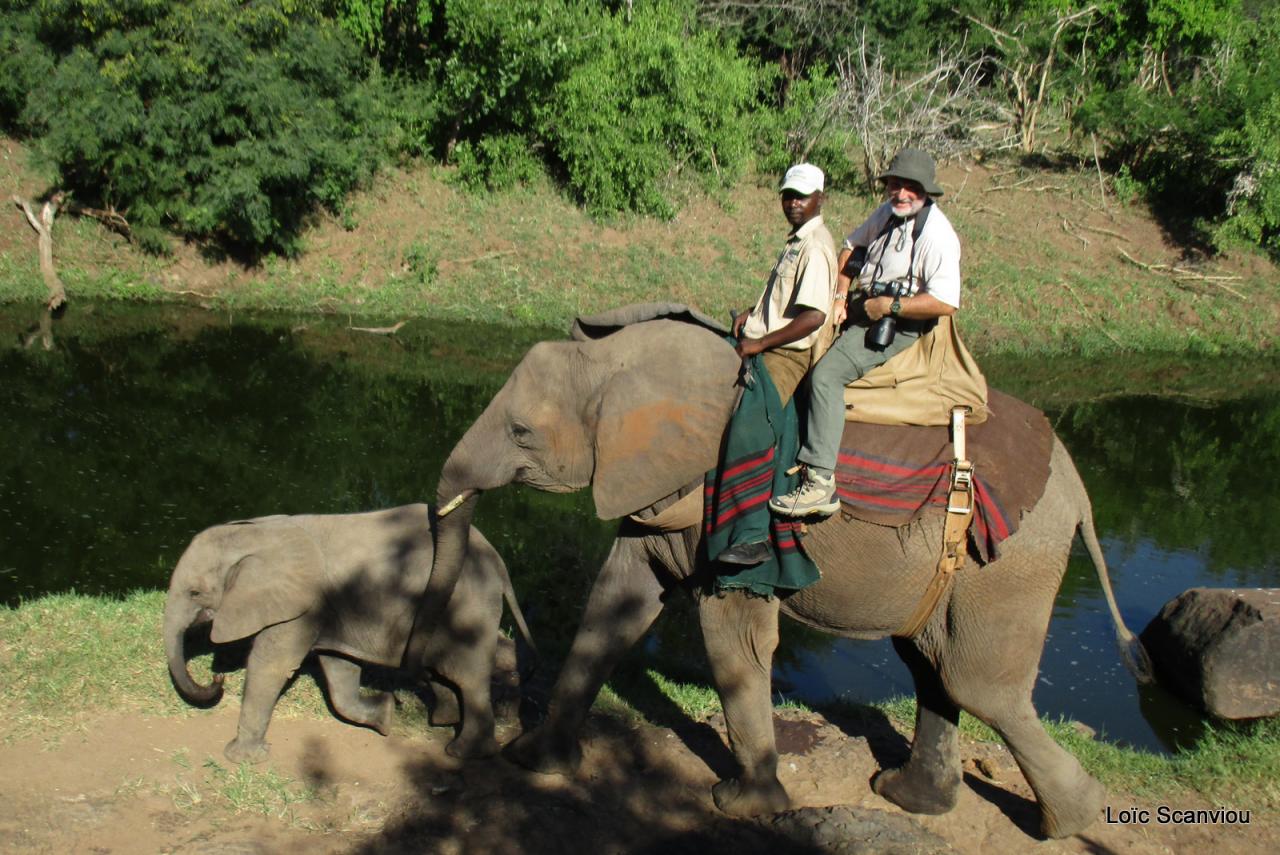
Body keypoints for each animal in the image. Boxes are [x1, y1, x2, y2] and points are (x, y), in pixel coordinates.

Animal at [162, 501, 532, 762]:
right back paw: (443, 719)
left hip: (466, 607)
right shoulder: (331, 611)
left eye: (195, 592)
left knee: (468, 678)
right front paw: (385, 716)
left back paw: (462, 752)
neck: (257, 532)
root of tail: (497, 561)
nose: (216, 679)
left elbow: (271, 666)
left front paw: (240, 758)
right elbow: (338, 670)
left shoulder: (301, 606)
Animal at [417, 311, 1152, 839]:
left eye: (520, 433)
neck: (624, 360)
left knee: (978, 685)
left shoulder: (726, 507)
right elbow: (613, 606)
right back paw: (910, 798)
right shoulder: (659, 488)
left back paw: (1073, 820)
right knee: (933, 669)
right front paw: (536, 762)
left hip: (1007, 561)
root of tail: (1078, 487)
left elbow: (730, 635)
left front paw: (739, 804)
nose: (444, 719)